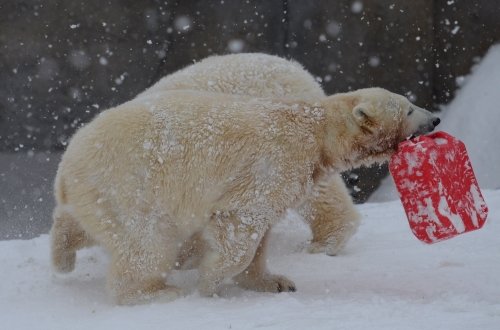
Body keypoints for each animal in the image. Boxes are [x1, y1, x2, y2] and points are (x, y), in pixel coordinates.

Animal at [50, 85, 440, 304]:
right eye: (408, 108)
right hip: (131, 184)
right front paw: (210, 280)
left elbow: (260, 234)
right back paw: (154, 292)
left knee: (81, 225)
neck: (316, 131)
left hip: (99, 194)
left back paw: (62, 257)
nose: (435, 118)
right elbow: (241, 222)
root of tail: (67, 164)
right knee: (147, 241)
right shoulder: (273, 163)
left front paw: (275, 282)